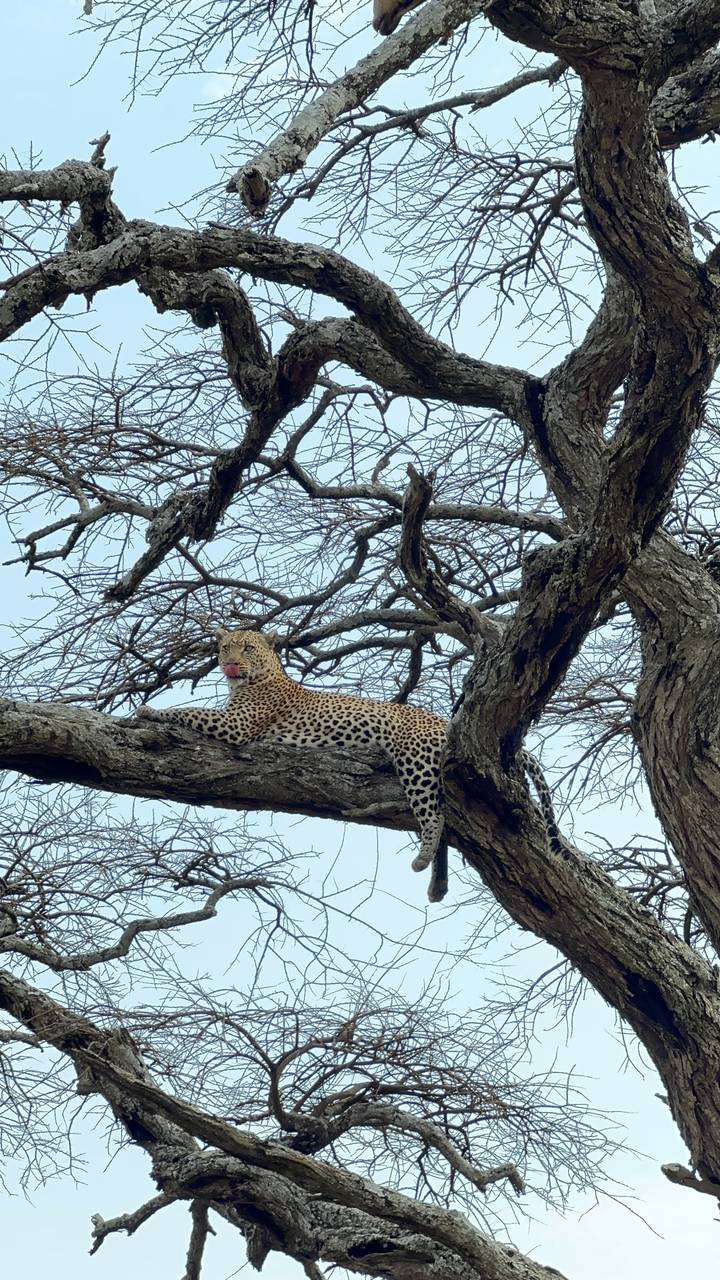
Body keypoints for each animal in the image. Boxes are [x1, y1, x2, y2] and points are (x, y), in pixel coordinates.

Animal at [137, 628, 560, 902]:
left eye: (247, 649)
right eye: (225, 648)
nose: (231, 664)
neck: (256, 680)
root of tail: (443, 720)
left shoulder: (236, 724)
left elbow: (190, 711)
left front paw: (148, 711)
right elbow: (193, 710)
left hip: (416, 759)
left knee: (434, 814)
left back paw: (423, 859)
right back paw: (436, 885)